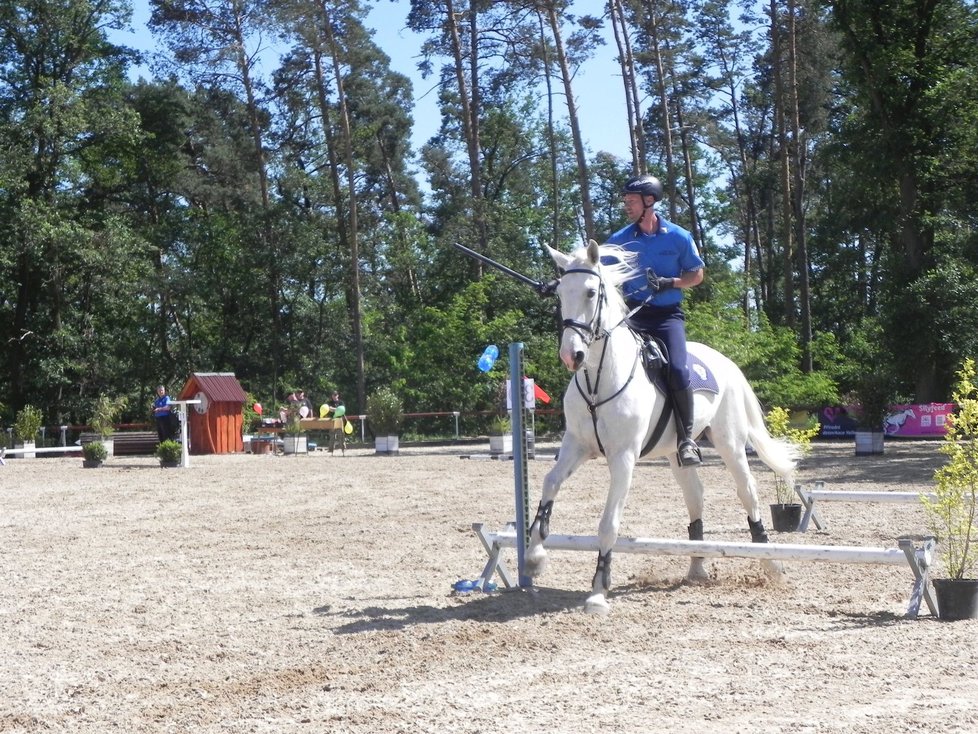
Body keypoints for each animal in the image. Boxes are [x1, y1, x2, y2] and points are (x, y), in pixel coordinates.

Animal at [528, 242, 800, 616]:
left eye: (591, 292)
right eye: (559, 294)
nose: (573, 355)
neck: (600, 377)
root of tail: (726, 362)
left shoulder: (623, 457)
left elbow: (609, 523)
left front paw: (598, 591)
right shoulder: (576, 445)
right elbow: (549, 483)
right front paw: (534, 555)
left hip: (730, 443)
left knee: (748, 492)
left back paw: (770, 562)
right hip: (676, 452)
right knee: (695, 497)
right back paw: (697, 566)